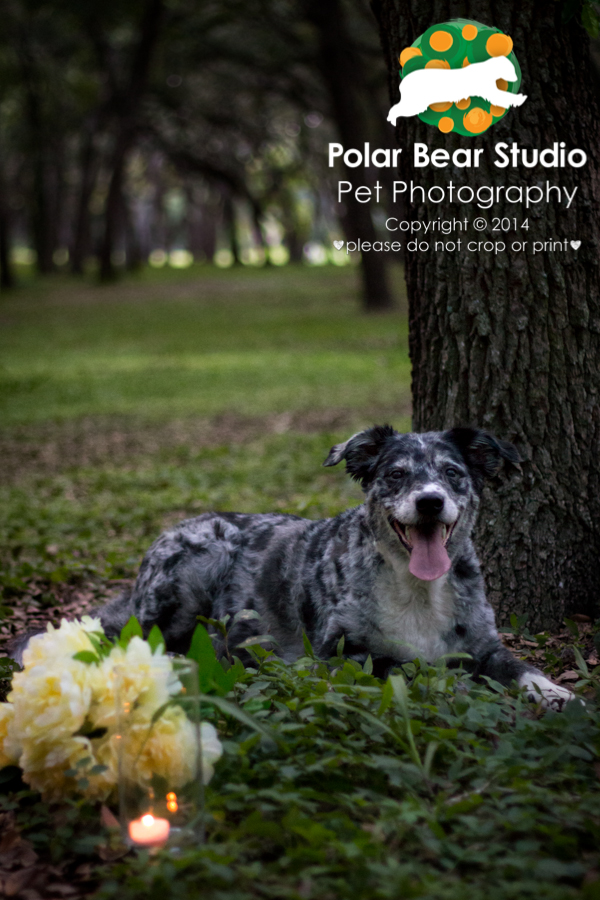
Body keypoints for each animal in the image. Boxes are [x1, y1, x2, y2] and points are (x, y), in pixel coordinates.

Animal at [92, 426, 572, 708]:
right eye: (396, 474)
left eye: (453, 472)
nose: (430, 501)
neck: (416, 588)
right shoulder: (342, 656)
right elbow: (412, 668)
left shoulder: (485, 644)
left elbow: (524, 669)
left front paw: (560, 693)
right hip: (195, 566)